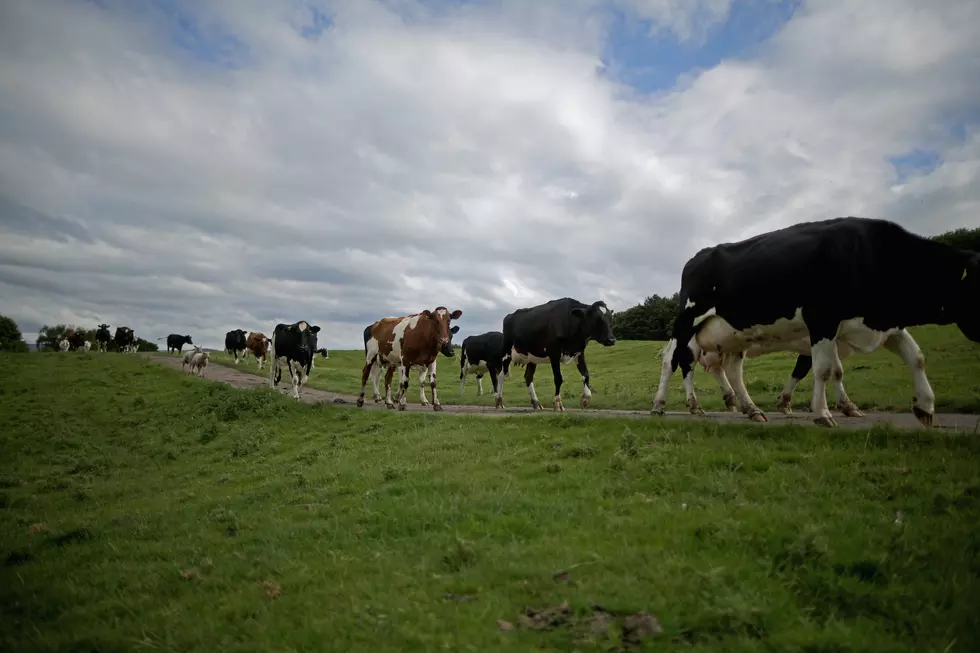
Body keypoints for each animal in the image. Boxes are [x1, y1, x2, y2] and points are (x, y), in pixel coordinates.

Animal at [652, 215, 980, 428]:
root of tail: (697, 256)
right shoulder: (821, 320)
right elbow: (824, 369)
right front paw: (822, 413)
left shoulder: (881, 325)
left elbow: (916, 358)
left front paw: (925, 407)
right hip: (688, 321)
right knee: (675, 362)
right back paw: (665, 406)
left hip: (734, 334)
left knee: (730, 369)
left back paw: (748, 408)